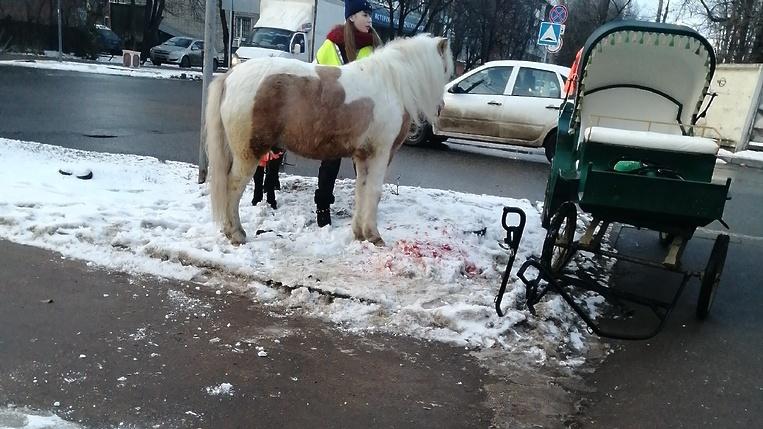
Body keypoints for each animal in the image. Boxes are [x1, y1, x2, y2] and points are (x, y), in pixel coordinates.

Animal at [203, 34, 454, 244]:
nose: (442, 107)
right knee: (232, 187)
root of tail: (231, 75)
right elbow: (374, 192)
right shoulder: (380, 155)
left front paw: (359, 234)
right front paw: (374, 236)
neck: (390, 84)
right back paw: (236, 233)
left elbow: (361, 191)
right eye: (446, 70)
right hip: (248, 153)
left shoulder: (363, 157)